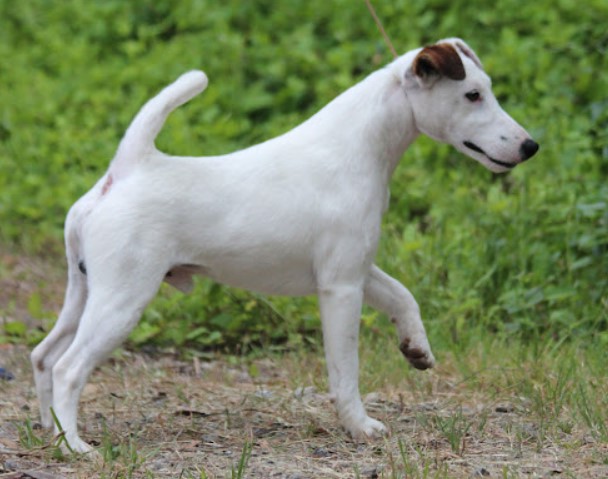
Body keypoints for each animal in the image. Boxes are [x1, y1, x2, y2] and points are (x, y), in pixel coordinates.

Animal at [30, 38, 540, 454]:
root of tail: (126, 170)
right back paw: (76, 446)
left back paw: (51, 432)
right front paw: (360, 427)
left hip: (84, 293)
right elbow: (345, 370)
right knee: (68, 368)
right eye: (472, 95)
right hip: (122, 300)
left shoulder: (358, 269)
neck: (360, 147)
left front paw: (416, 348)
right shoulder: (341, 288)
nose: (530, 145)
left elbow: (403, 296)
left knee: (44, 356)